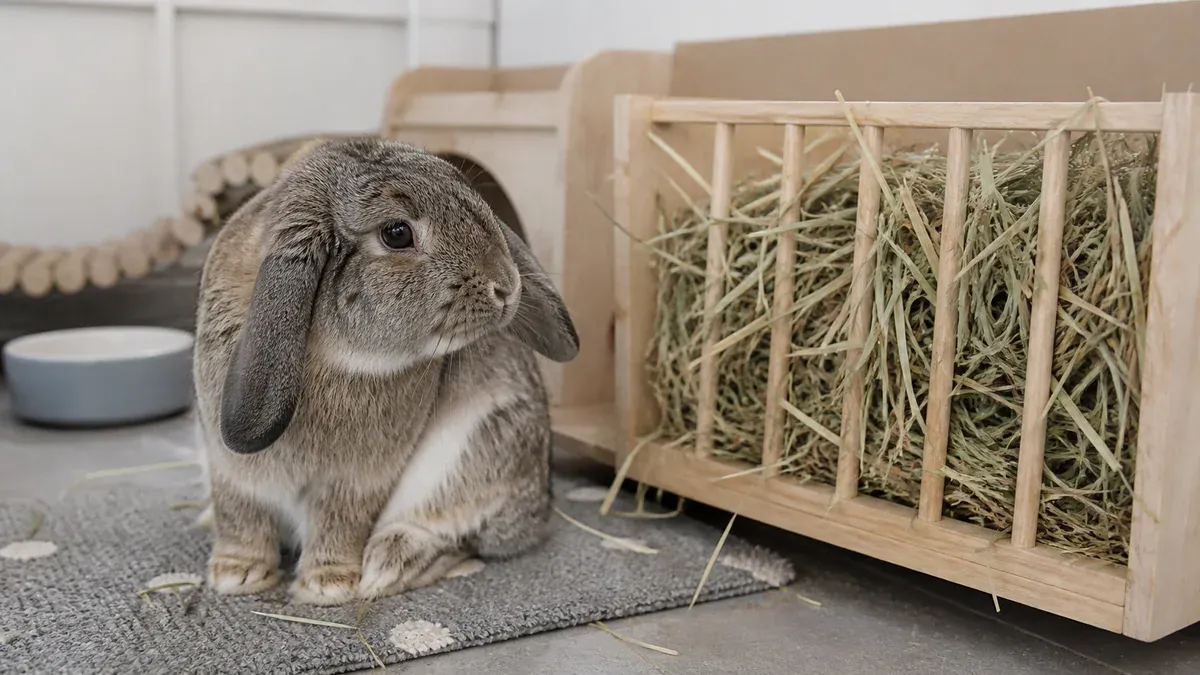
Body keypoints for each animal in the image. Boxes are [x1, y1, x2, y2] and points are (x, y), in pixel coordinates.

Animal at [192, 137, 579, 605]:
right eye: (396, 234)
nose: (506, 287)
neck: (329, 351)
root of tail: (540, 507)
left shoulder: (355, 483)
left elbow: (339, 524)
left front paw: (328, 586)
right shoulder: (231, 471)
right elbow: (241, 518)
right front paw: (236, 575)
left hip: (468, 454)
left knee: (456, 533)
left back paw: (387, 566)